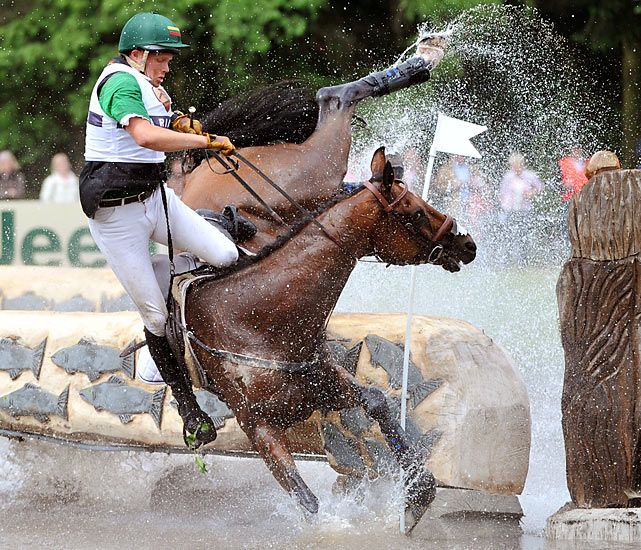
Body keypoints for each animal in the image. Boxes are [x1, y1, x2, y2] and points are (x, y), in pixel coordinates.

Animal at [177, 148, 476, 531]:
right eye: (416, 211)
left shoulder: (325, 385)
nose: (468, 243)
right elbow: (307, 500)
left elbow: (377, 401)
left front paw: (418, 491)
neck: (258, 322)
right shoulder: (259, 427)